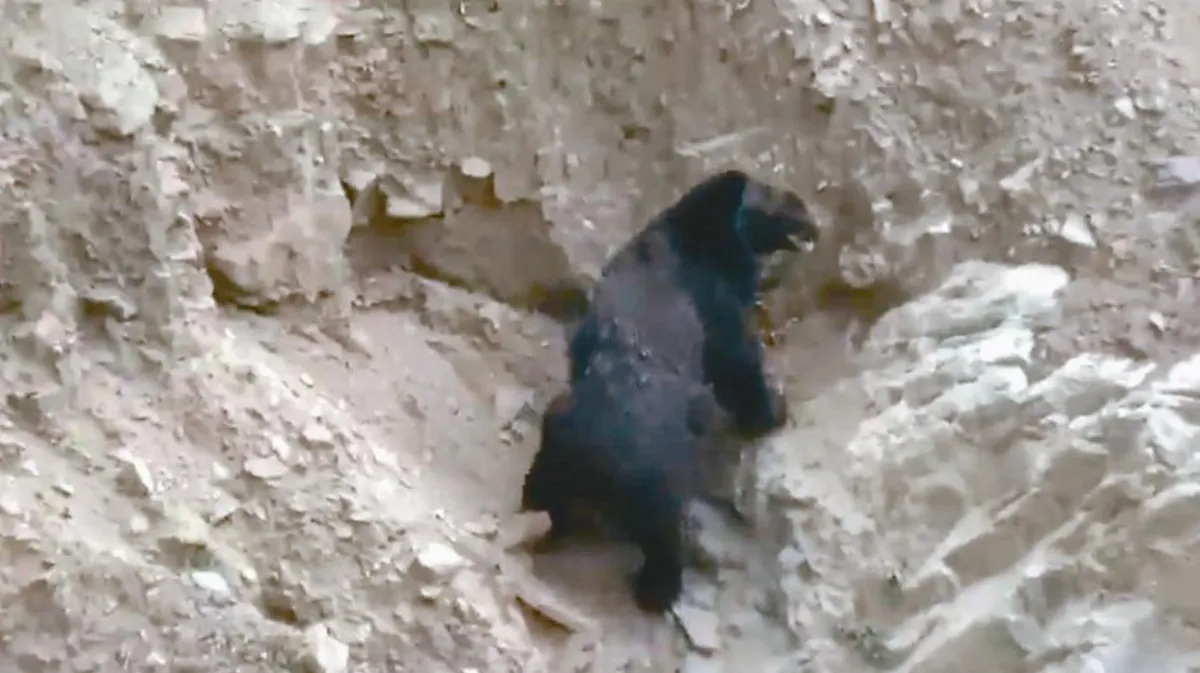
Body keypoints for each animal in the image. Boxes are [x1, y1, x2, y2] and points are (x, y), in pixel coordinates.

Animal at [520, 169, 819, 613]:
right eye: (769, 193)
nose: (807, 211)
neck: (702, 231)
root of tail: (600, 456)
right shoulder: (722, 309)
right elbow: (741, 365)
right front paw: (774, 411)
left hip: (553, 446)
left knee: (541, 490)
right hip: (661, 486)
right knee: (664, 541)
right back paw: (657, 591)